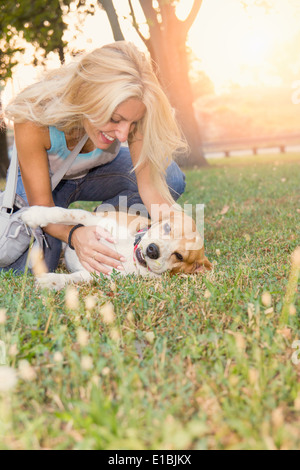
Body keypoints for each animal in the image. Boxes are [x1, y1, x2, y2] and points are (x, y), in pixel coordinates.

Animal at [21, 207, 212, 290]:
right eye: (167, 227)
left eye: (179, 256)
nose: (153, 250)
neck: (129, 252)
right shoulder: (95, 220)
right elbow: (68, 213)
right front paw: (35, 215)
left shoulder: (98, 273)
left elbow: (74, 278)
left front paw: (50, 281)